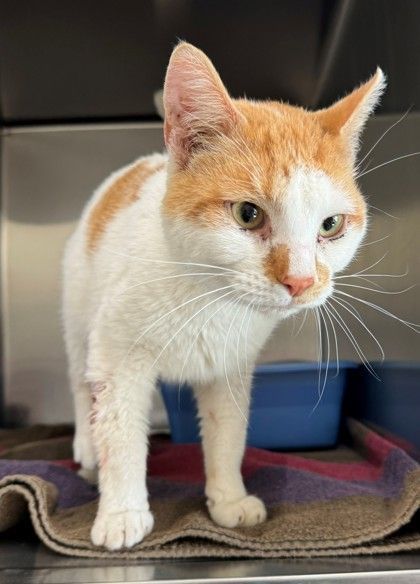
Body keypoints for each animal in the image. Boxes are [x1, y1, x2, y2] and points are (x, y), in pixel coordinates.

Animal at [60, 43, 386, 548]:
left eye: (331, 225)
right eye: (248, 214)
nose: (301, 281)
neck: (209, 300)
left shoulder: (232, 368)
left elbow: (227, 433)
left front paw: (229, 499)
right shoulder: (118, 355)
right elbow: (122, 432)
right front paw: (122, 512)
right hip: (80, 312)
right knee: (80, 382)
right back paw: (86, 450)